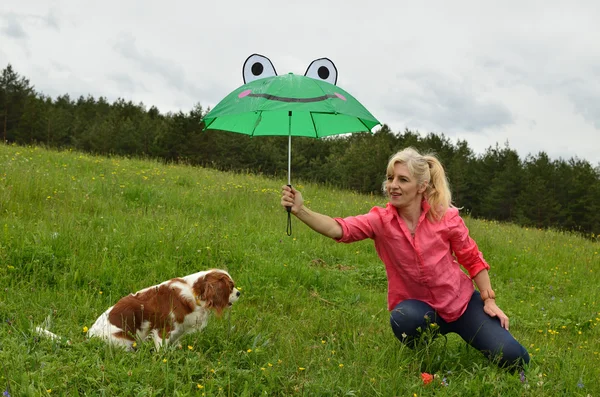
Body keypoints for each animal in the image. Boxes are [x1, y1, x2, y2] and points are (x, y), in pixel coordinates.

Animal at [35, 270, 239, 350]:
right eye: (230, 286)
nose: (239, 293)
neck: (194, 292)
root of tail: (89, 338)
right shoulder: (163, 329)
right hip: (125, 340)